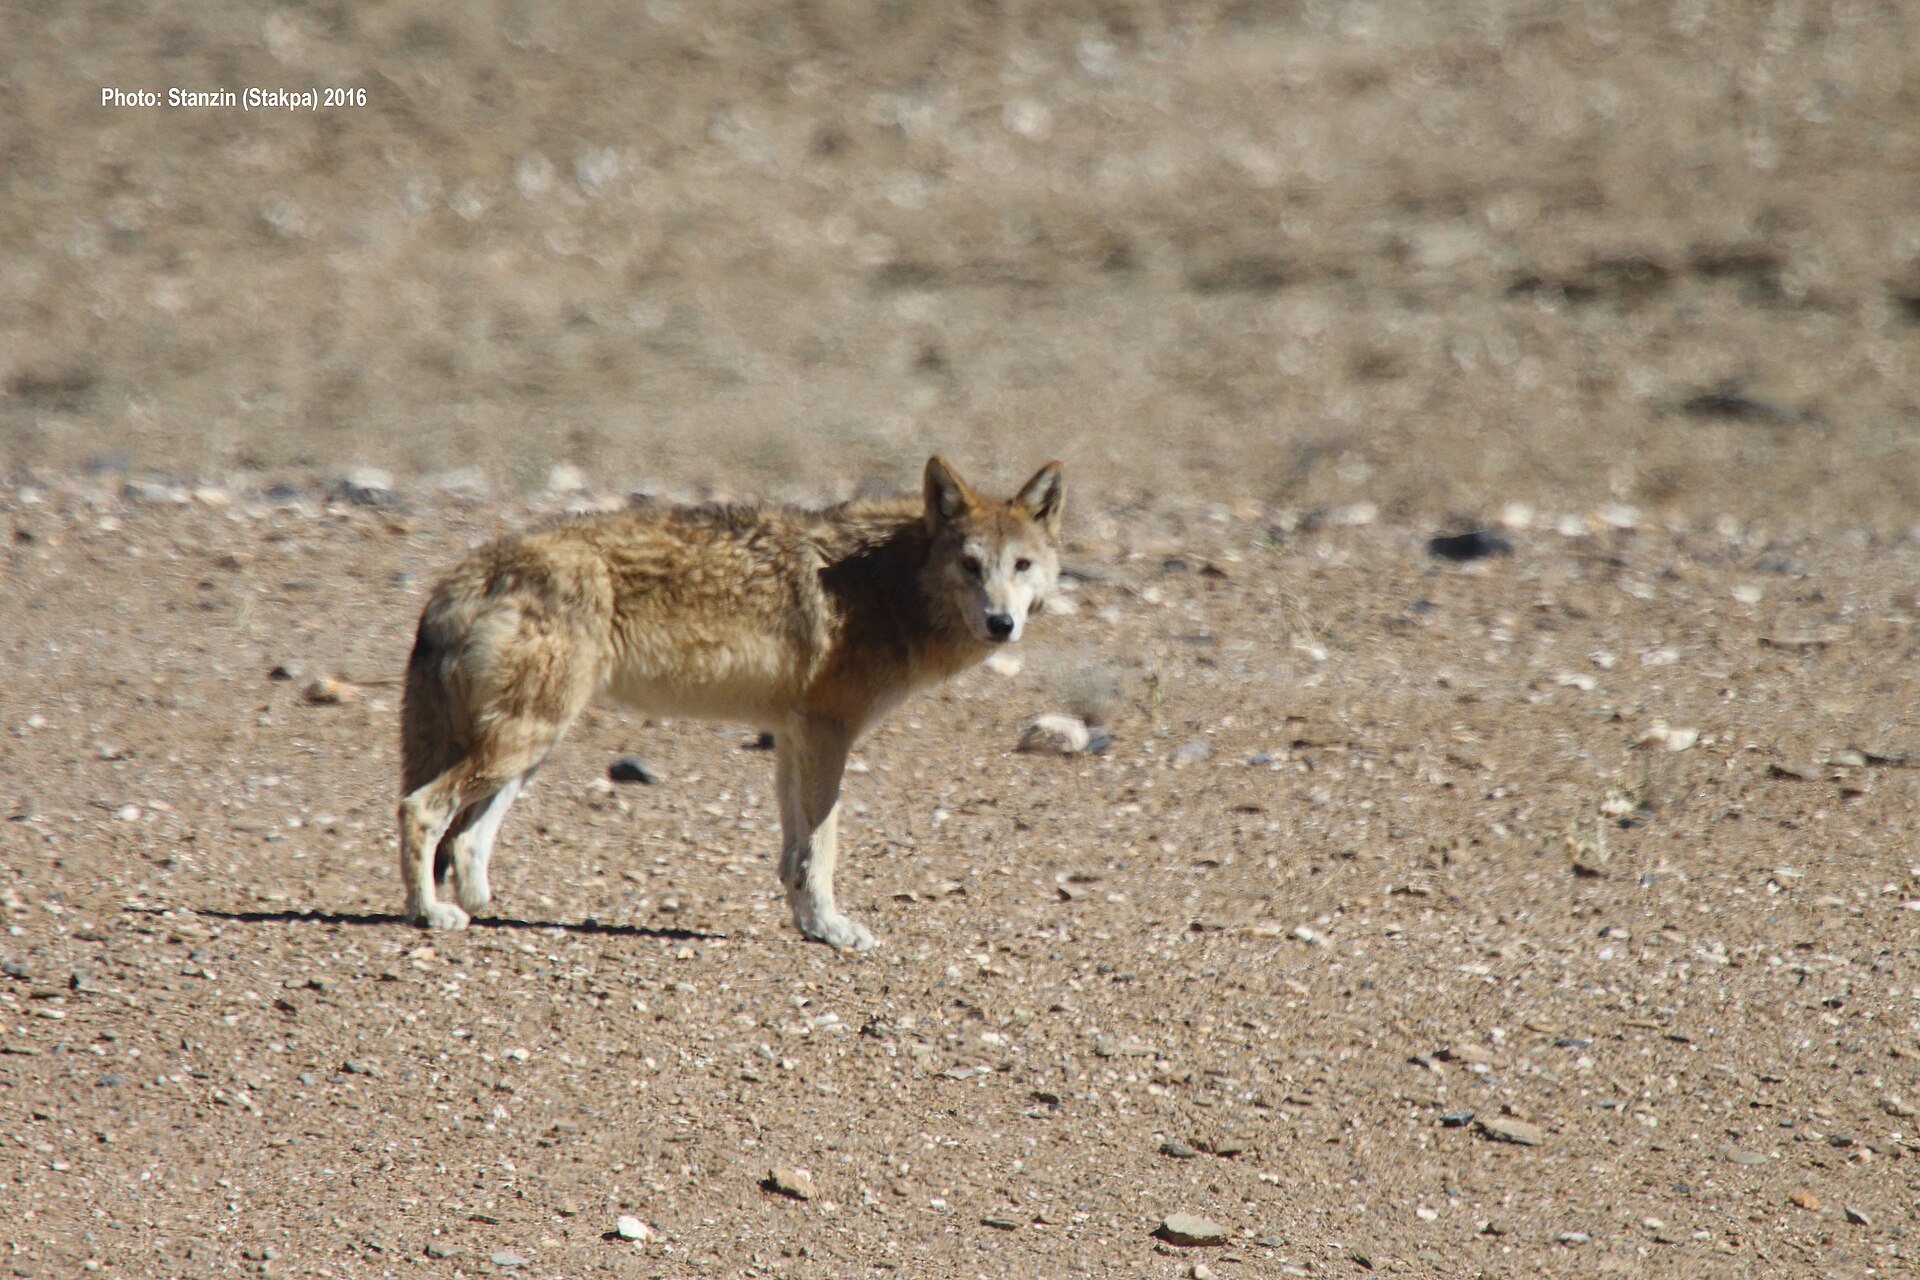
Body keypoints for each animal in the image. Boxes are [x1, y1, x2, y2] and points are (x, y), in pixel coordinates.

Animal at [398, 456, 1064, 950]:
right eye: (970, 565)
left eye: (1022, 565)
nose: (1002, 623)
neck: (888, 582)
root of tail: (464, 573)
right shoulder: (828, 733)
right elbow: (822, 848)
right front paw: (833, 930)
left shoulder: (795, 737)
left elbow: (795, 853)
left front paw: (809, 926)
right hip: (525, 738)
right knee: (420, 809)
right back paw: (428, 914)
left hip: (530, 746)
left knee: (466, 838)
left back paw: (477, 906)